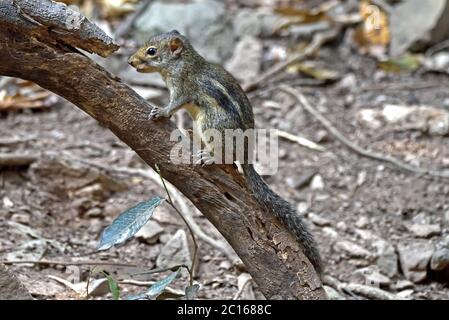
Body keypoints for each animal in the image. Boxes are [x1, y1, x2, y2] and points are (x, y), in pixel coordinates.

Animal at [128, 30, 320, 272]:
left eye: (151, 51)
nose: (130, 61)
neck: (181, 62)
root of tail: (246, 155)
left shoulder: (182, 88)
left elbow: (174, 104)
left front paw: (161, 111)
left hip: (211, 124)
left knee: (226, 157)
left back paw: (209, 156)